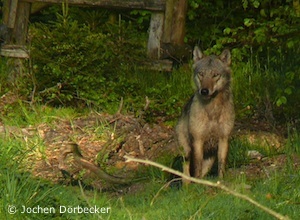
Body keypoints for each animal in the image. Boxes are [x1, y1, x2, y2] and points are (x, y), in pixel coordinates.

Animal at [176, 46, 234, 180]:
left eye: (215, 75)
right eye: (201, 74)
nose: (204, 91)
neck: (212, 110)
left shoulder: (224, 139)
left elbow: (221, 165)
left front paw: (221, 181)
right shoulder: (198, 140)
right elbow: (197, 167)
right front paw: (196, 184)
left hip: (210, 159)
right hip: (186, 152)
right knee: (187, 173)